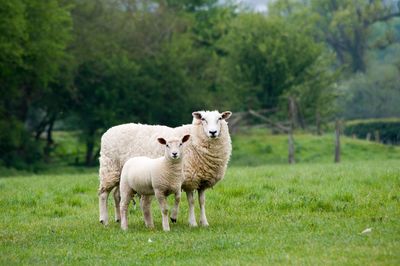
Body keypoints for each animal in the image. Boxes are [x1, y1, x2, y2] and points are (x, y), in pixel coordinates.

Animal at [98, 110, 233, 227]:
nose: (213, 132)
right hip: (110, 168)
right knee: (103, 194)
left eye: (220, 118)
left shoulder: (202, 180)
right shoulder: (190, 179)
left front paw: (204, 222)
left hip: (122, 175)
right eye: (203, 119)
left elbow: (202, 201)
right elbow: (191, 201)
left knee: (117, 195)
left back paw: (119, 219)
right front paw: (192, 222)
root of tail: (109, 131)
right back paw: (104, 220)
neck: (194, 139)